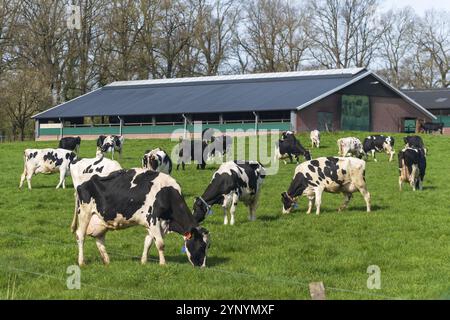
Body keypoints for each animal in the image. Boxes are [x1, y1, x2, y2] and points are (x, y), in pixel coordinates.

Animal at [72, 170, 209, 268]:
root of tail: (83, 183)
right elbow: (160, 244)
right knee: (80, 236)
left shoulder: (155, 224)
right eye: (201, 246)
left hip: (100, 221)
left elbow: (148, 242)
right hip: (84, 213)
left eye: (208, 246)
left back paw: (107, 261)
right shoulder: (153, 219)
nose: (202, 266)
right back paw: (82, 262)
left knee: (99, 240)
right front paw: (163, 263)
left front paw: (143, 261)